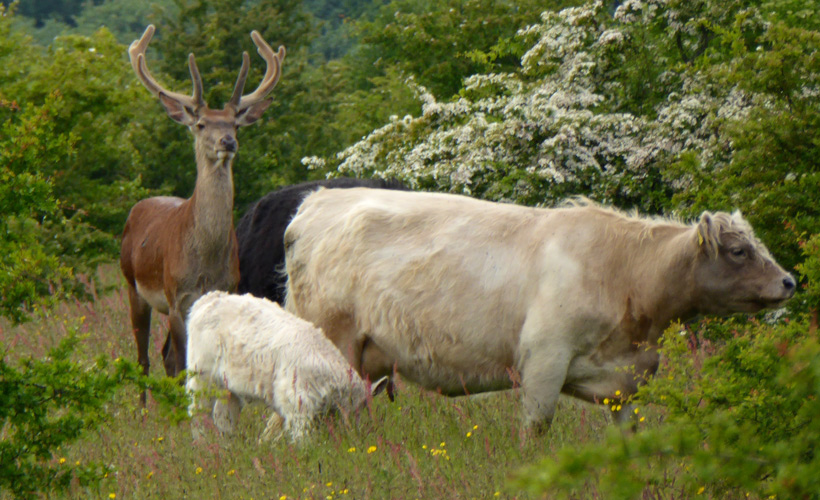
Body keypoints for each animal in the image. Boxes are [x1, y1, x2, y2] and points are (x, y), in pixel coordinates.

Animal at [186, 292, 384, 440]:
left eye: (364, 407)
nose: (352, 432)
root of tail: (210, 298)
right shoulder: (297, 404)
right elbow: (302, 437)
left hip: (228, 388)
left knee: (223, 416)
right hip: (201, 377)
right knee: (197, 412)